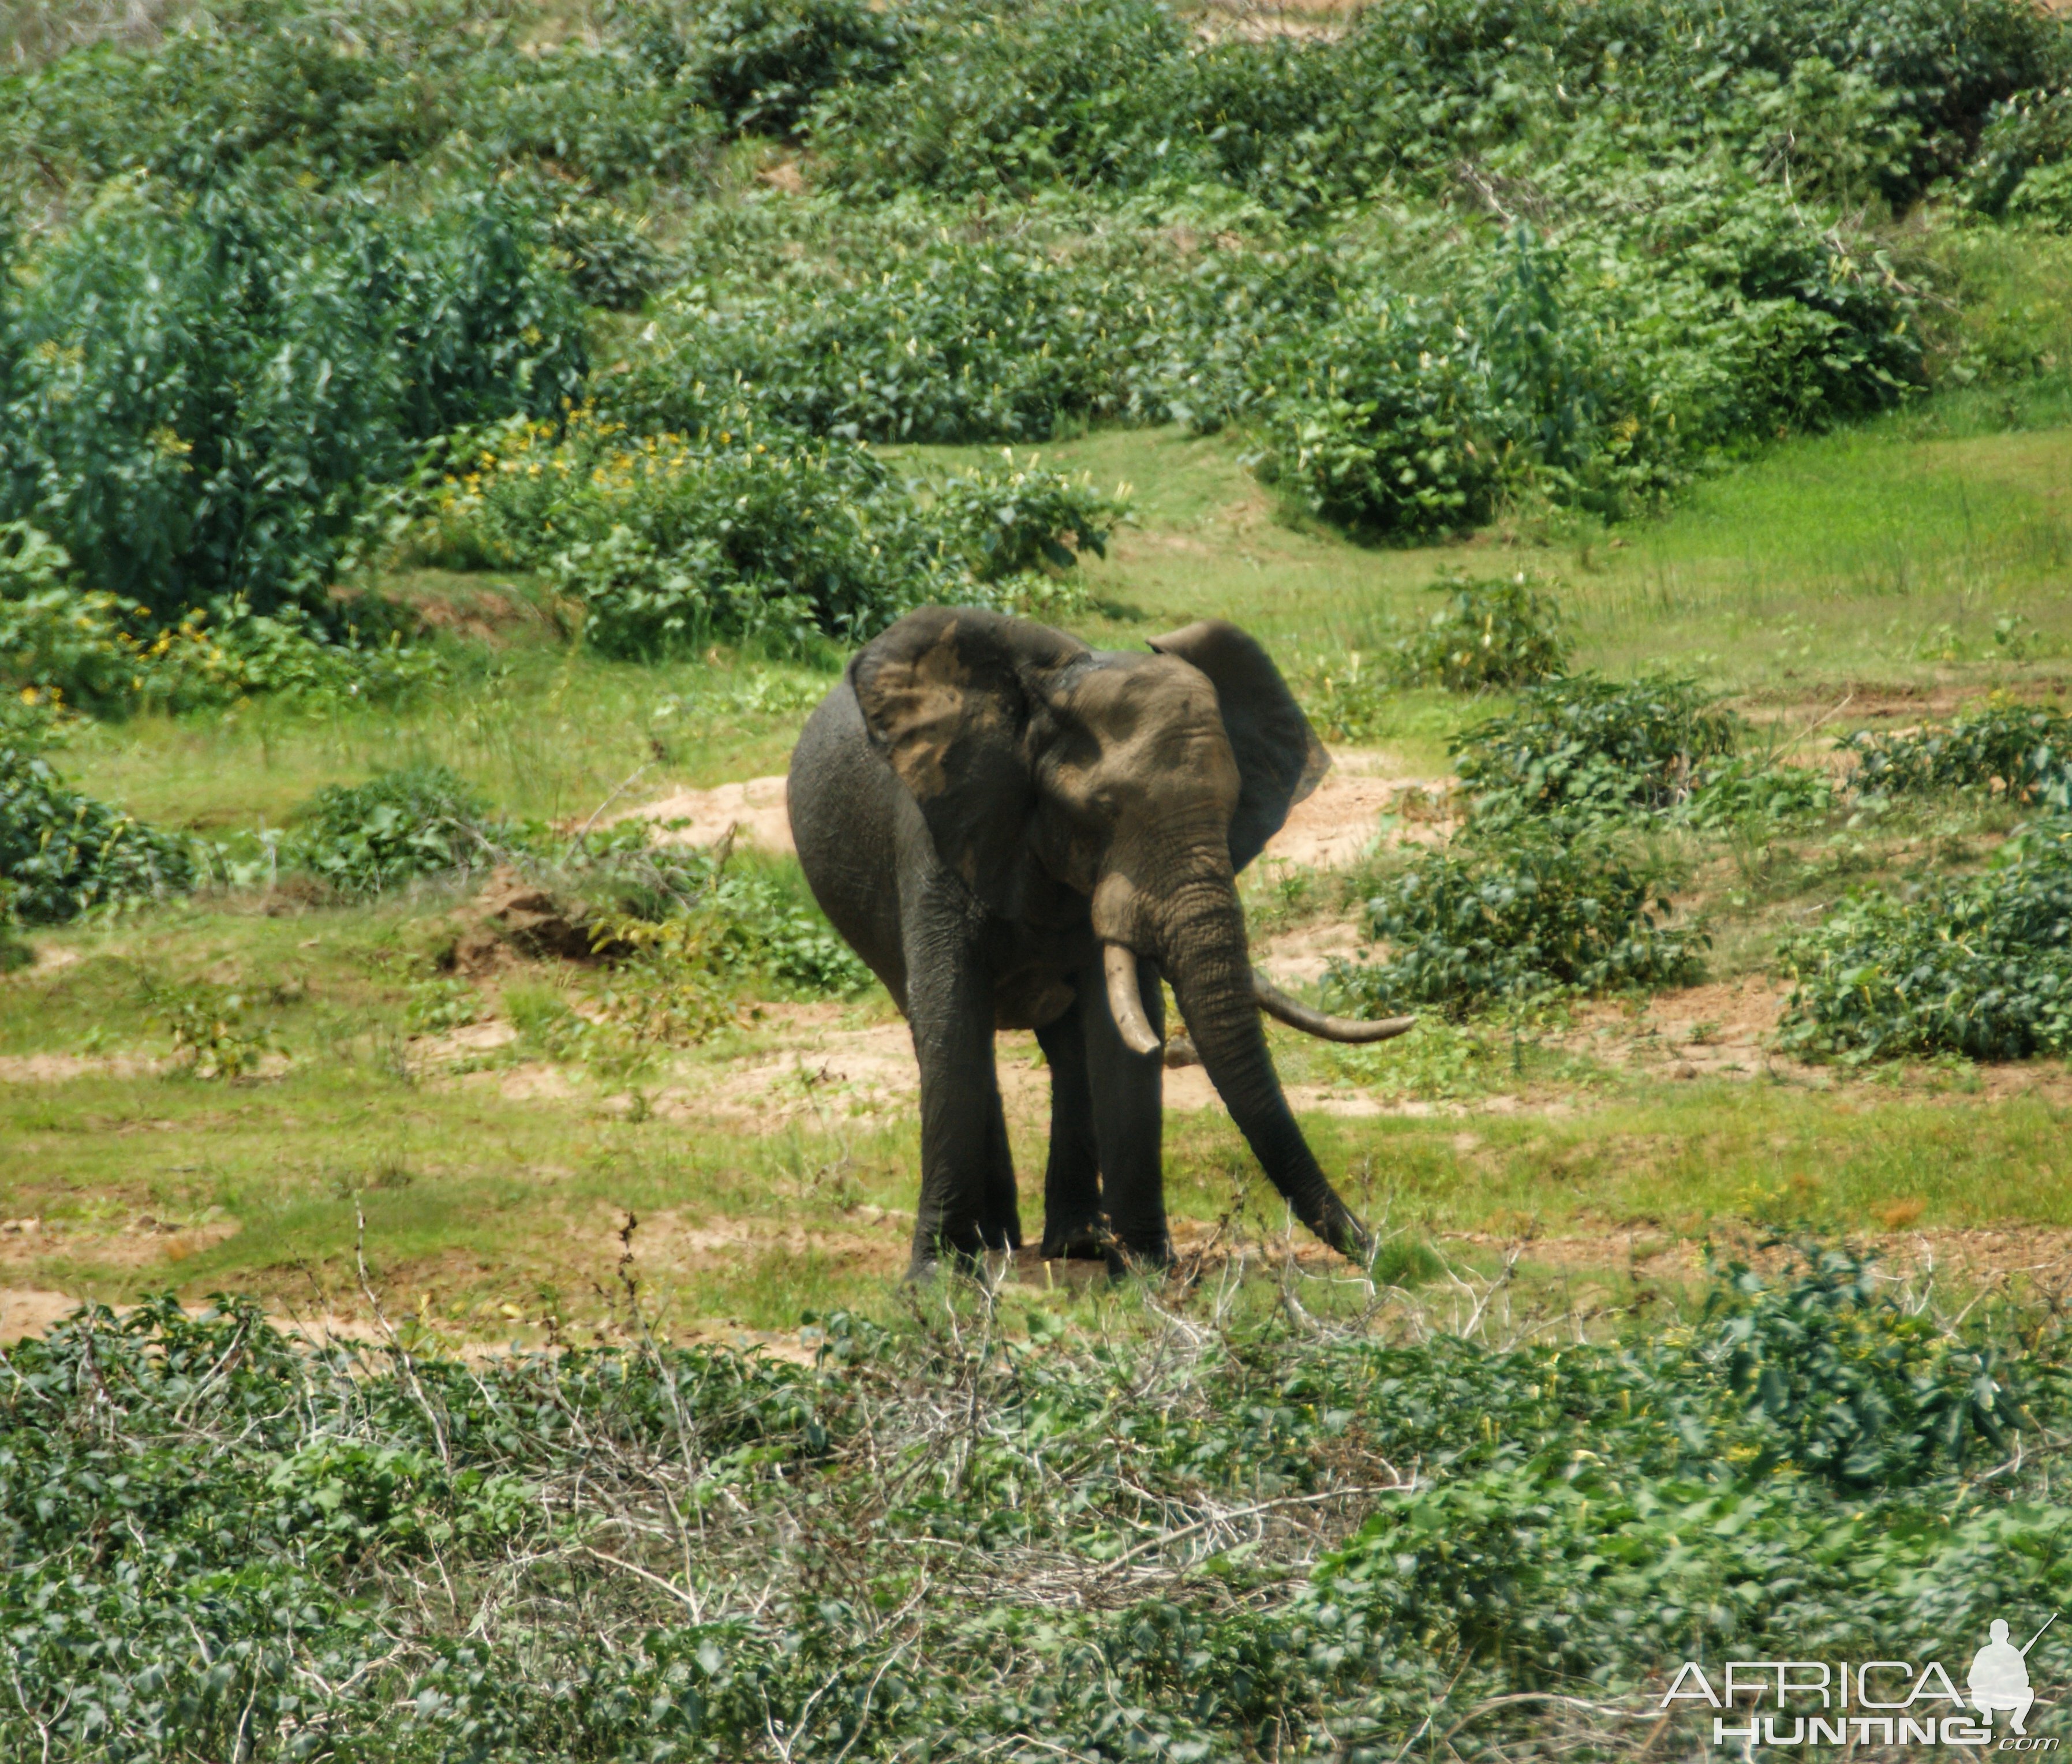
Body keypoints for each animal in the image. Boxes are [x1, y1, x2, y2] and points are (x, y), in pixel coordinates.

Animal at [783, 605, 1417, 1285]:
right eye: (1103, 810)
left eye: (1230, 809)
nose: (1377, 1248)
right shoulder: (939, 830)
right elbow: (951, 1022)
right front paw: (936, 1280)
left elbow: (1121, 1035)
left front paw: (1144, 1270)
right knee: (954, 1038)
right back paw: (997, 1243)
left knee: (1066, 1052)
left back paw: (1075, 1244)